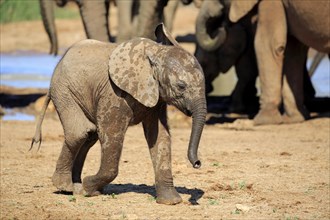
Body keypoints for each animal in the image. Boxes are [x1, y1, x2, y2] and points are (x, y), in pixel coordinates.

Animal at [31, 24, 206, 205]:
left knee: (90, 135)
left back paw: (77, 187)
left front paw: (171, 201)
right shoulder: (113, 93)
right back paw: (66, 187)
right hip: (64, 91)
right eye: (181, 86)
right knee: (79, 133)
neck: (156, 52)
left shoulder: (156, 97)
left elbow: (160, 137)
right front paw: (89, 187)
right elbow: (112, 135)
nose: (198, 163)